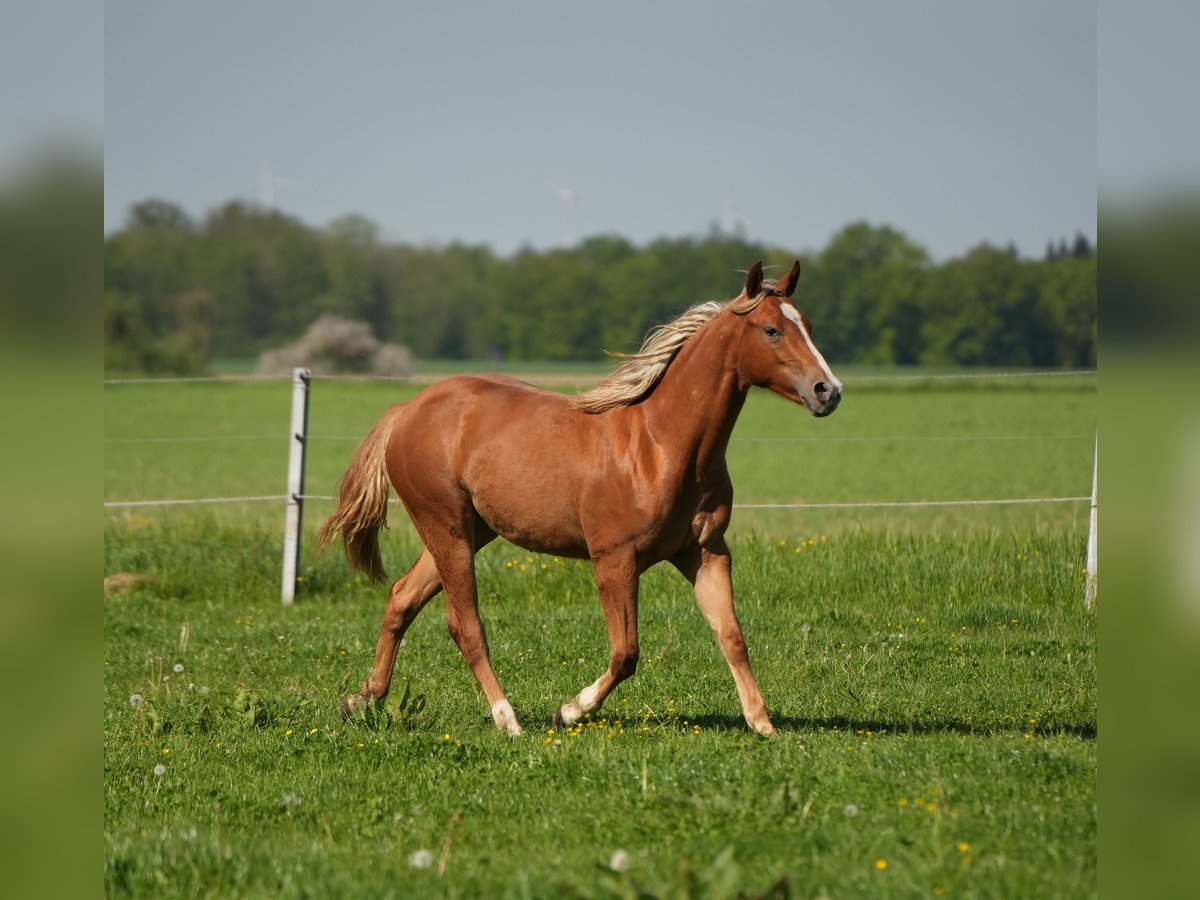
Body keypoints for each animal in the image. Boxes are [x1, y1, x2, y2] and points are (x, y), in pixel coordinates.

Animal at [319, 256, 844, 734]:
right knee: (464, 624)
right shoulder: (615, 559)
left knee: (401, 598)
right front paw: (569, 710)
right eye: (771, 330)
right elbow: (626, 652)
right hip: (445, 527)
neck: (662, 445)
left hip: (469, 531)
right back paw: (508, 720)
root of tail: (409, 408)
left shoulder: (706, 552)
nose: (829, 391)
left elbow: (732, 635)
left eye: (808, 324)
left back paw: (360, 701)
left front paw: (764, 725)